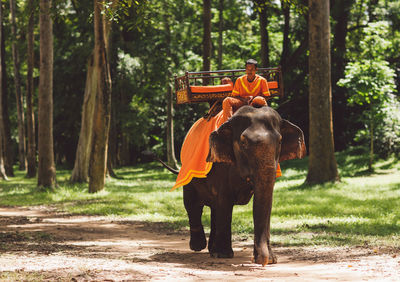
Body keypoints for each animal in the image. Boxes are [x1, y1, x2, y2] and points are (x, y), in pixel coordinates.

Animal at [159, 104, 306, 266]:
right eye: (243, 143)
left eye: (280, 141)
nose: (261, 261)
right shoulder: (220, 167)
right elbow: (225, 202)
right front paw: (223, 255)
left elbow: (265, 201)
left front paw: (272, 260)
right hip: (189, 176)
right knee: (193, 205)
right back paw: (199, 246)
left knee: (214, 209)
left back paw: (211, 249)